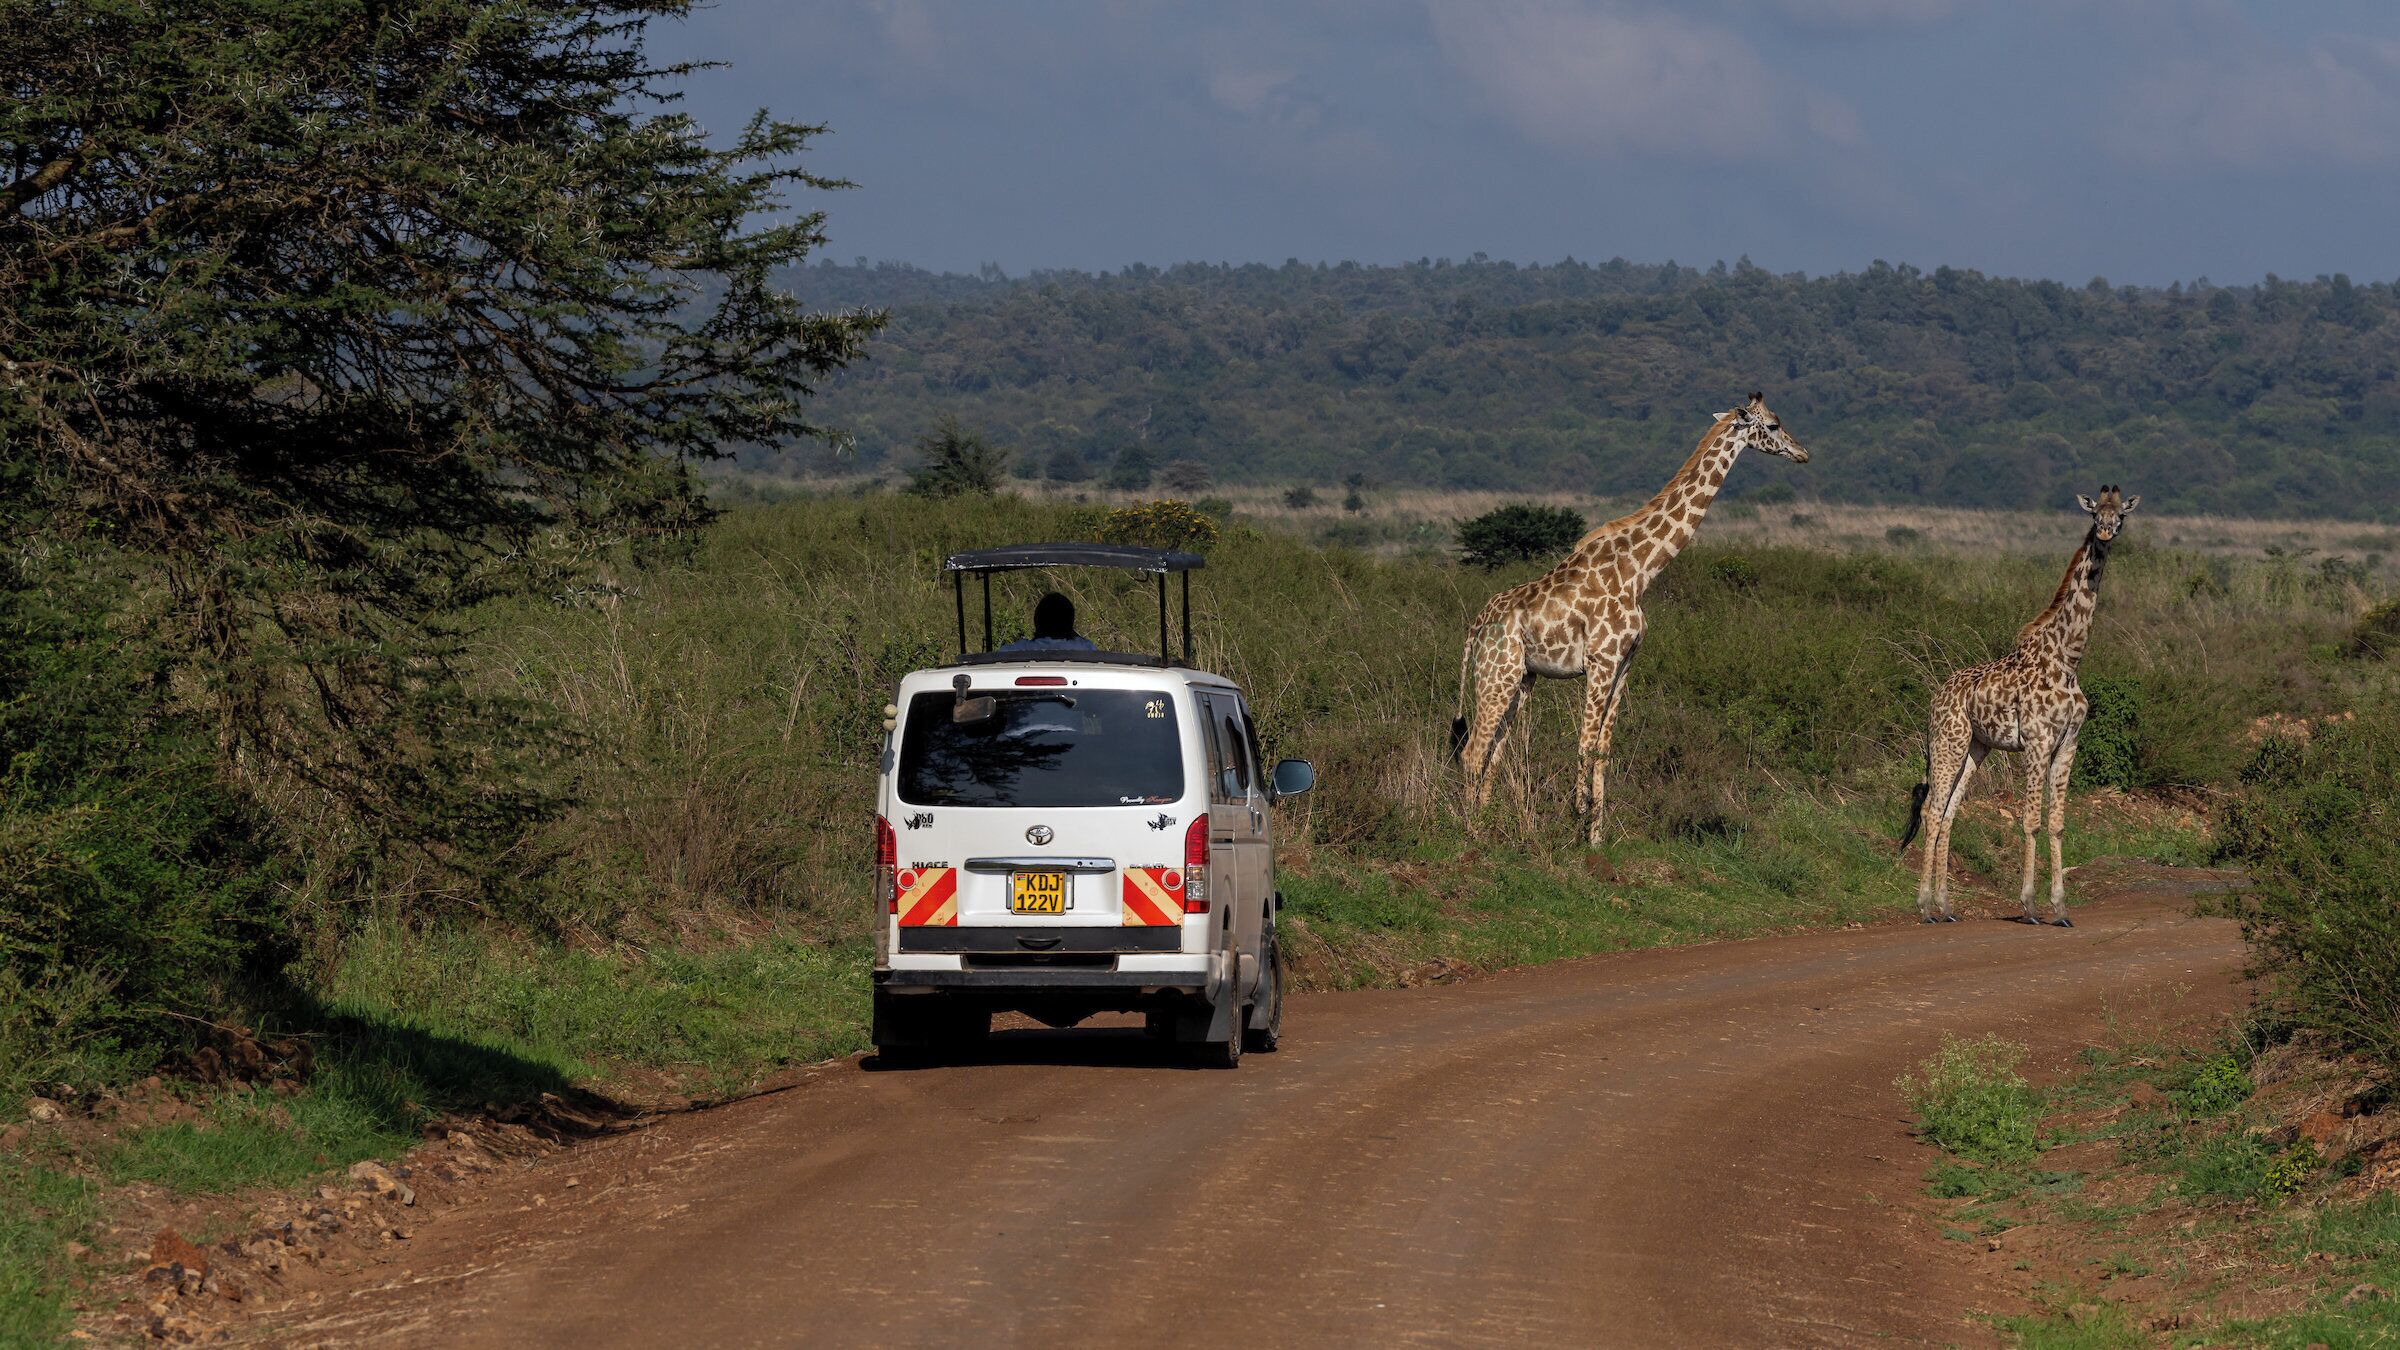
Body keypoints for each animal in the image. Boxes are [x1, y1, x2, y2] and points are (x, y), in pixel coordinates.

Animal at [1451, 394, 1810, 845]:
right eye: (1775, 425)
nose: (1803, 453)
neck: (1641, 570)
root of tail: (1475, 626)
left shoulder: (1625, 664)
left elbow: (1604, 748)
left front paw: (1596, 838)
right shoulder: (1600, 662)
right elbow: (1585, 744)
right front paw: (1577, 824)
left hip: (1520, 679)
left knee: (1495, 750)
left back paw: (1483, 825)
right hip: (1495, 675)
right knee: (1472, 751)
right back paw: (1468, 834)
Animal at [1901, 486, 2140, 926]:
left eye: (2121, 516)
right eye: (2095, 512)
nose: (2104, 531)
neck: (2068, 659)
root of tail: (1935, 697)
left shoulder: (2068, 743)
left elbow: (2057, 823)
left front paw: (2061, 908)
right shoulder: (2037, 740)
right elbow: (2031, 821)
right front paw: (2029, 905)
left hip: (1975, 748)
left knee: (1949, 813)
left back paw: (1946, 907)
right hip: (1947, 742)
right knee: (1931, 811)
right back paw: (1925, 907)